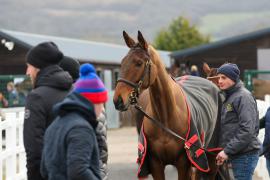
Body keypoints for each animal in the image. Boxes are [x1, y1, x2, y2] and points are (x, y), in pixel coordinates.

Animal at [114, 31, 221, 179]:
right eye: (122, 62)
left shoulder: (183, 164)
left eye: (139, 63)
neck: (165, 116)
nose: (118, 100)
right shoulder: (155, 164)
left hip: (211, 156)